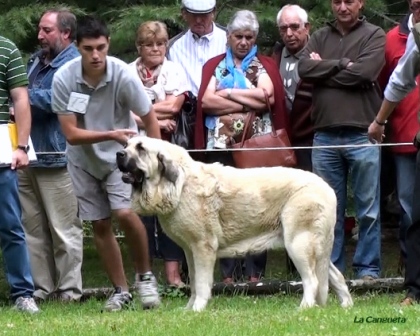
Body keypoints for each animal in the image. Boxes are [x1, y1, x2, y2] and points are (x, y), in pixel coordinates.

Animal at [116, 136, 352, 312]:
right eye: (125, 145)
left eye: (140, 148)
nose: (119, 154)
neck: (178, 185)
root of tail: (326, 188)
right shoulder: (190, 251)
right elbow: (193, 282)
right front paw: (188, 310)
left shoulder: (203, 247)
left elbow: (201, 283)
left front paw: (197, 309)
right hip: (316, 248)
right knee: (335, 276)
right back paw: (346, 306)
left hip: (298, 244)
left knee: (312, 280)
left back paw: (304, 308)